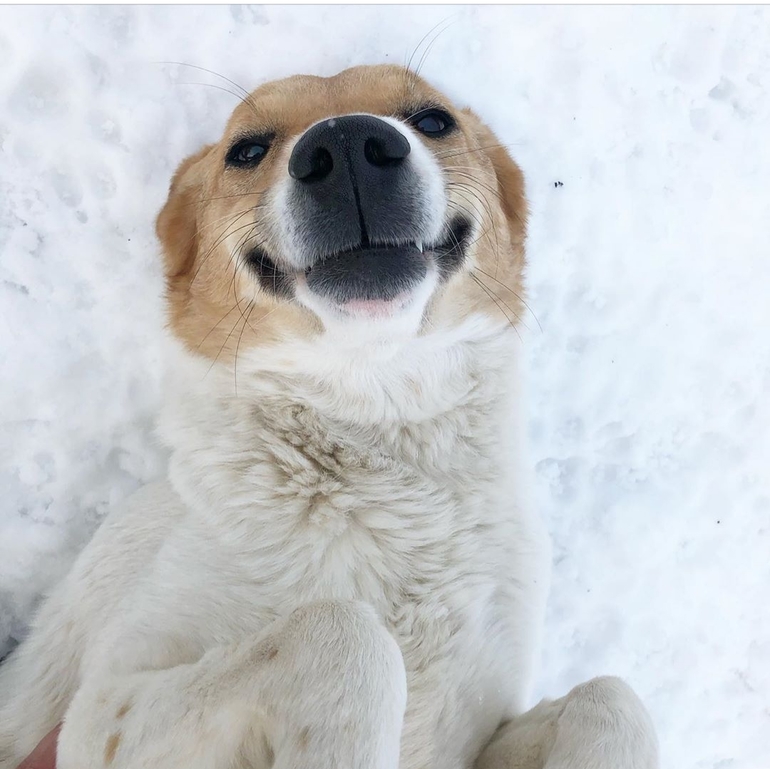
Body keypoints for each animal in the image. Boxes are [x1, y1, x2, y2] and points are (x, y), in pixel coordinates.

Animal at [0, 65, 658, 769]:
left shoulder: (481, 732)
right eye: (247, 150)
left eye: (433, 120)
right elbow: (347, 636)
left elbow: (613, 702)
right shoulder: (94, 714)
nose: (346, 146)